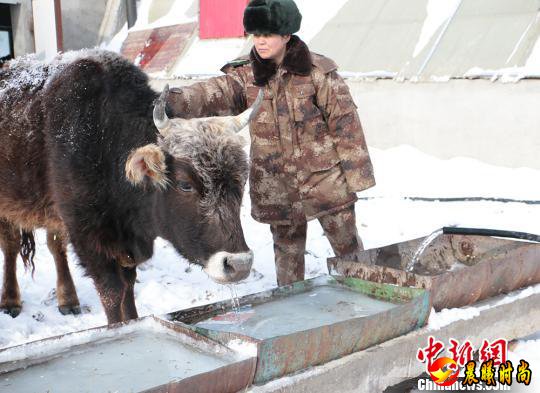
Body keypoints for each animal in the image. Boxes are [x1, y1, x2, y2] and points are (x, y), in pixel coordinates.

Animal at [0, 49, 262, 322]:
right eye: (184, 184)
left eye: (241, 179)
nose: (239, 264)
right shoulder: (88, 237)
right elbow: (113, 294)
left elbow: (128, 290)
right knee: (10, 245)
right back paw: (10, 301)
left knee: (55, 246)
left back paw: (68, 300)